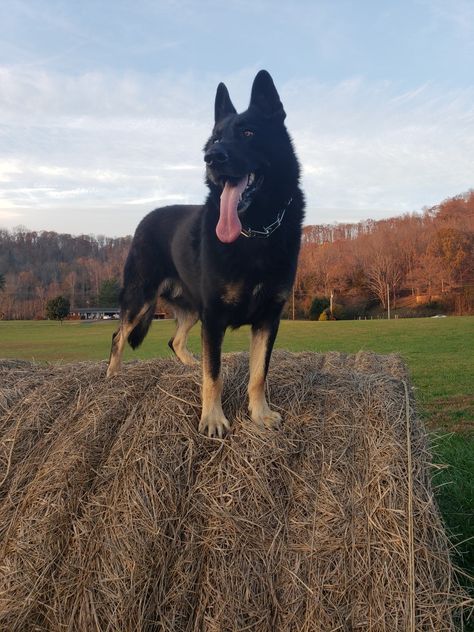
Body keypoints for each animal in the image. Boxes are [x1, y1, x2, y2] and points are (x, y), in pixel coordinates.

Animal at [107, 69, 304, 434]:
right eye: (214, 140)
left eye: (248, 132)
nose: (212, 158)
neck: (254, 230)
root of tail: (145, 219)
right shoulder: (213, 318)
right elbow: (214, 374)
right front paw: (212, 418)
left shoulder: (268, 317)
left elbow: (259, 373)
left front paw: (259, 414)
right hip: (141, 298)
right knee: (118, 335)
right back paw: (112, 377)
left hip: (189, 309)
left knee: (175, 341)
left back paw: (186, 365)